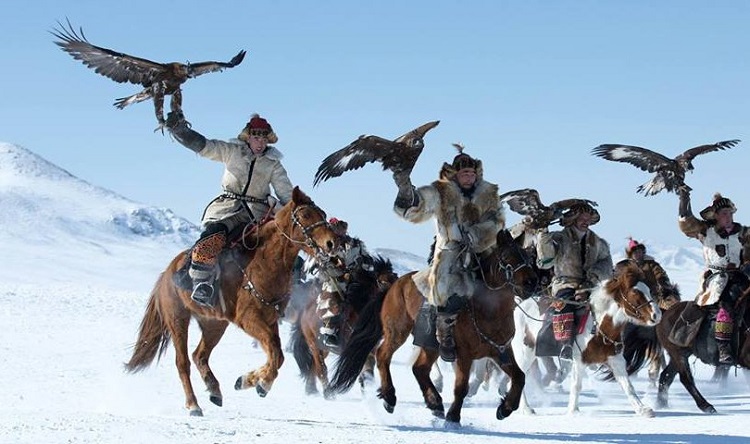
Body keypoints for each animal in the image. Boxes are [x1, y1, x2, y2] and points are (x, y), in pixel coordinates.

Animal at [124, 187, 340, 416]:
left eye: (323, 214)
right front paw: (261, 383)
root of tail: (167, 274)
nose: (331, 243)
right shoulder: (249, 319)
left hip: (215, 323)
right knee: (182, 362)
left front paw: (248, 380)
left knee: (199, 355)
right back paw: (193, 405)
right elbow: (276, 353)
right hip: (178, 318)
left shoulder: (270, 320)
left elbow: (277, 355)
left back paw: (214, 391)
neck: (262, 263)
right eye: (305, 215)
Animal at [290, 255, 402, 398]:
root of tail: (305, 311)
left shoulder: (368, 352)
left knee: (314, 367)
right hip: (313, 344)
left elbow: (368, 374)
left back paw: (311, 390)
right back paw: (327, 393)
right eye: (382, 281)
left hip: (323, 348)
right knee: (321, 369)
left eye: (395, 278)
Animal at [328, 229, 540, 426]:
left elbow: (520, 377)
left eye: (527, 256)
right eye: (506, 257)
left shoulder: (501, 351)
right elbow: (461, 387)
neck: (487, 310)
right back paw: (390, 398)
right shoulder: (464, 355)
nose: (531, 282)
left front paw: (505, 408)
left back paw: (434, 403)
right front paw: (453, 418)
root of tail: (393, 286)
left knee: (419, 368)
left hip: (430, 345)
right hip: (398, 332)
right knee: (382, 355)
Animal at [616, 290, 750, 414]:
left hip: (678, 356)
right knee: (686, 379)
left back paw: (662, 404)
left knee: (666, 376)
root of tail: (665, 314)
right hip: (678, 354)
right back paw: (706, 406)